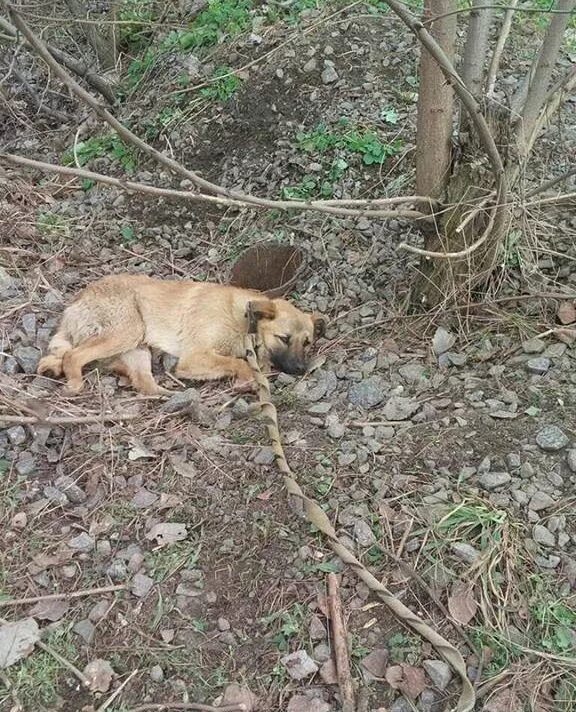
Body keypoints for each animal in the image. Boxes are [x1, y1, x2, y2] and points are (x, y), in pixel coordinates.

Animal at [38, 272, 326, 394]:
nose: (301, 369)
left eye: (307, 342)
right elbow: (237, 363)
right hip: (128, 331)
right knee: (73, 356)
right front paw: (245, 378)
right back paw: (74, 382)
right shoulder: (193, 358)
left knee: (142, 383)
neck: (244, 321)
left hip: (137, 348)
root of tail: (78, 300)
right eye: (284, 338)